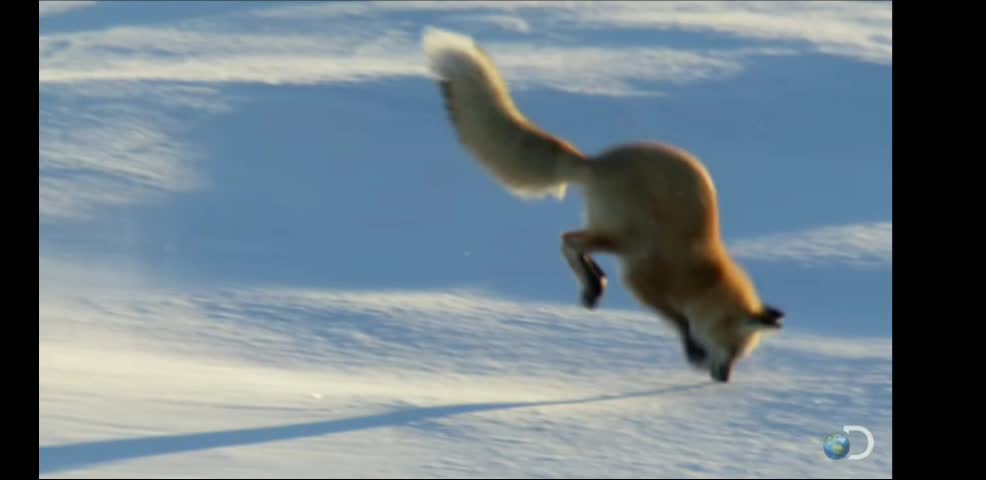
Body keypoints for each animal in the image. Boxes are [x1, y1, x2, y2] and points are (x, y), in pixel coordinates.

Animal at [422, 29, 784, 382]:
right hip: (622, 236)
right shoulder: (641, 281)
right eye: (732, 350)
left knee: (575, 245)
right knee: (568, 240)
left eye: (740, 355)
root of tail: (595, 162)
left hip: (615, 237)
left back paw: (595, 283)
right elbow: (678, 320)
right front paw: (691, 348)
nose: (724, 379)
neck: (699, 275)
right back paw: (592, 284)